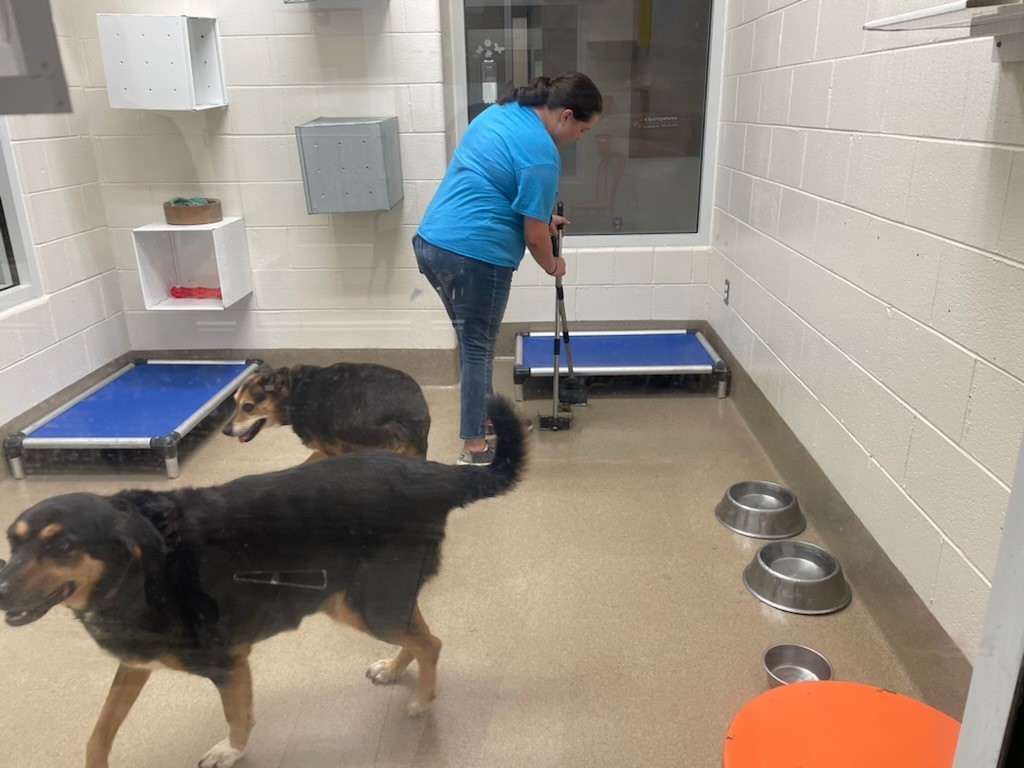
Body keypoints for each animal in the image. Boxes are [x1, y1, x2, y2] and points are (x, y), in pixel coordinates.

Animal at [0, 397, 524, 768]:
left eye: (62, 547)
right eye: (13, 542)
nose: (0, 590)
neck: (140, 569)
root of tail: (430, 474)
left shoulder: (229, 664)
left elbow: (238, 717)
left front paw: (230, 751)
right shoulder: (133, 663)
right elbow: (98, 735)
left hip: (360, 601)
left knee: (431, 642)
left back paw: (421, 699)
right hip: (368, 594)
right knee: (420, 634)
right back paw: (396, 669)